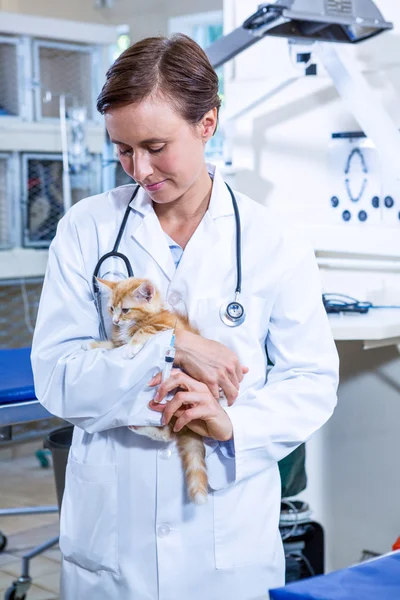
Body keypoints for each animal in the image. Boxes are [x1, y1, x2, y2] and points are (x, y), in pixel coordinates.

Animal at [85, 278, 208, 504]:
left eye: (125, 310)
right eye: (111, 308)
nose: (115, 321)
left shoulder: (168, 327)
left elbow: (144, 331)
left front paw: (131, 348)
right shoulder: (118, 339)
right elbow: (112, 344)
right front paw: (93, 344)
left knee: (169, 433)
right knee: (168, 434)